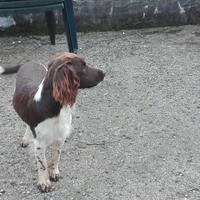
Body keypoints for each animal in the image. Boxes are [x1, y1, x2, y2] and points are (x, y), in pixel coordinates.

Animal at [0, 52, 105, 192]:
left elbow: (56, 156)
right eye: (83, 66)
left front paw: (54, 172)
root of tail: (29, 62)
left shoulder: (61, 136)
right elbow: (42, 163)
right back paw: (25, 139)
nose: (104, 73)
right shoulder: (39, 142)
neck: (55, 108)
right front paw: (44, 182)